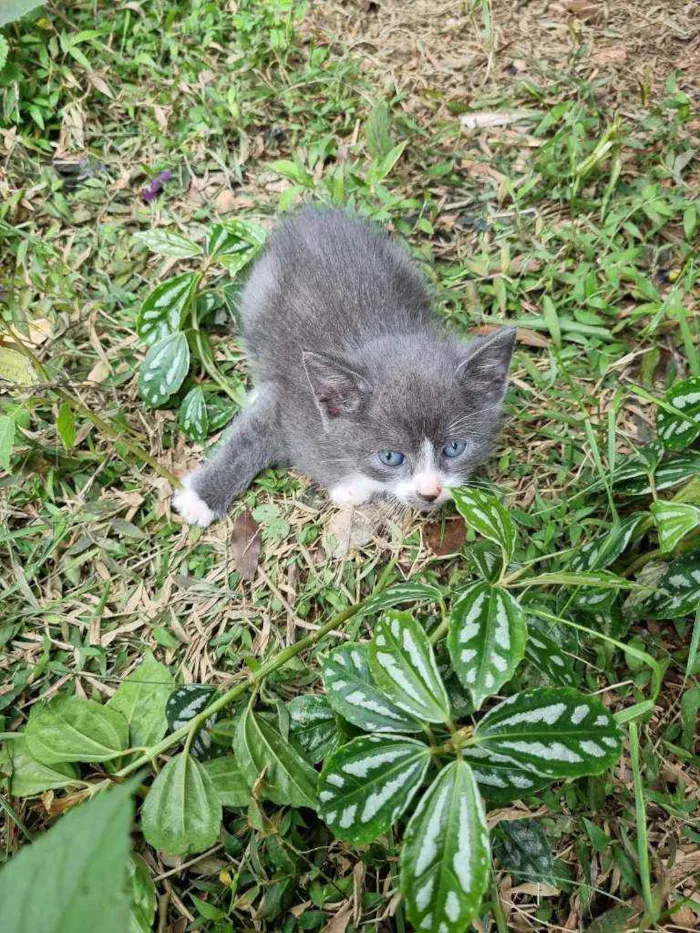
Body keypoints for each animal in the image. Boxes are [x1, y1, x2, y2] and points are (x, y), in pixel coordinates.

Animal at [174, 210, 516, 528]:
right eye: (391, 457)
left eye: (454, 448)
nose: (429, 493)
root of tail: (312, 215)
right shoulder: (290, 397)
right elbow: (247, 438)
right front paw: (200, 499)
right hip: (257, 302)